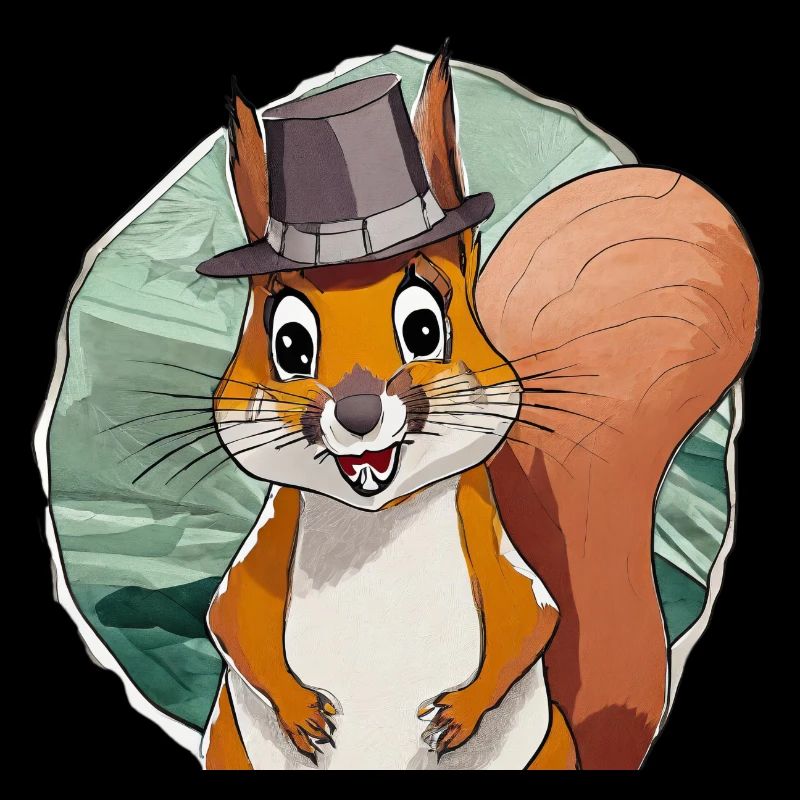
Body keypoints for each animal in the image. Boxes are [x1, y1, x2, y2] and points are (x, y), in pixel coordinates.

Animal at [196, 47, 759, 770]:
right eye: (288, 343)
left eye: (425, 327)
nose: (357, 413)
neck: (375, 526)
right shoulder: (267, 545)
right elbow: (228, 618)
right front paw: (301, 711)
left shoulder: (492, 545)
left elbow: (535, 619)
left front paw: (459, 713)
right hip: (228, 749)